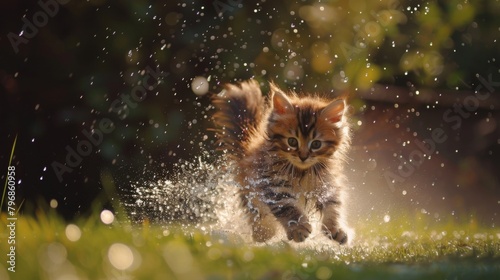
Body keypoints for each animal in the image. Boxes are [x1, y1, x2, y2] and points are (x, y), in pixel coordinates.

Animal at [213, 80, 350, 244]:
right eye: (292, 141)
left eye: (316, 144)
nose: (303, 156)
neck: (302, 171)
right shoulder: (274, 185)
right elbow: (287, 208)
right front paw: (298, 229)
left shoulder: (327, 183)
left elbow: (334, 206)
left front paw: (336, 229)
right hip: (250, 192)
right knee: (259, 216)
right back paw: (263, 234)